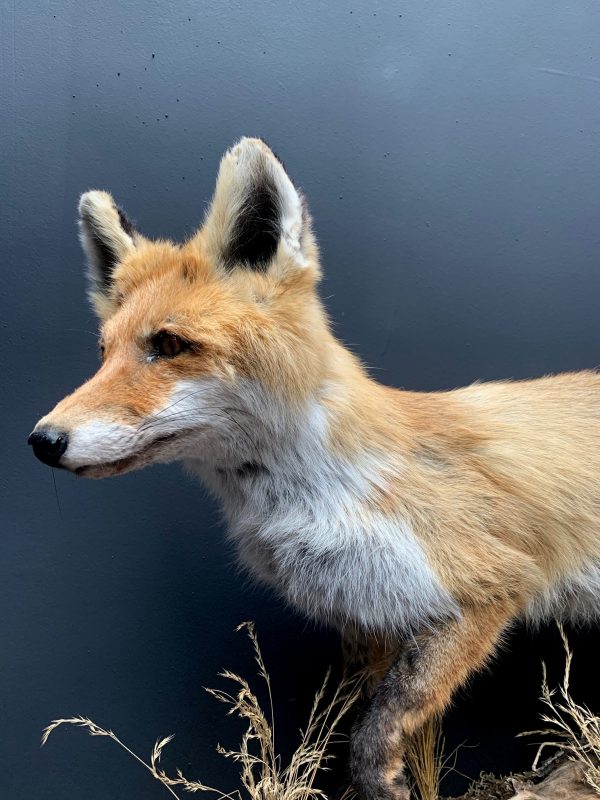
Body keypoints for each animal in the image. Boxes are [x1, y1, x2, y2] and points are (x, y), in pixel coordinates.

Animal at [30, 138, 600, 800]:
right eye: (104, 353)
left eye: (168, 345)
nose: (42, 440)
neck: (317, 499)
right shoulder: (371, 618)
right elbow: (357, 714)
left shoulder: (487, 587)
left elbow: (382, 722)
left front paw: (384, 782)